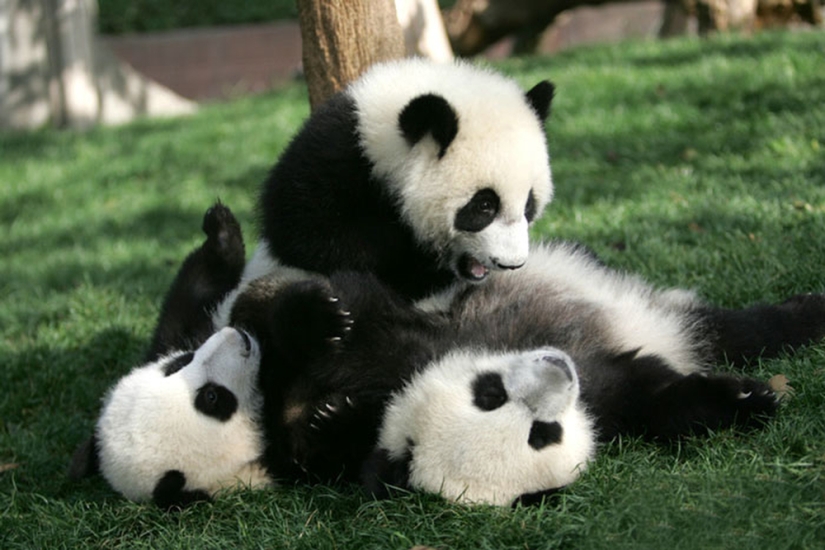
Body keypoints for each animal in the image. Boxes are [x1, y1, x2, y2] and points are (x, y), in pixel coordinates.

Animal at [71, 202, 825, 508]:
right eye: (535, 431)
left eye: (193, 383)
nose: (233, 348)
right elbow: (650, 399)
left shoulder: (396, 329)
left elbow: (318, 306)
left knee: (741, 326)